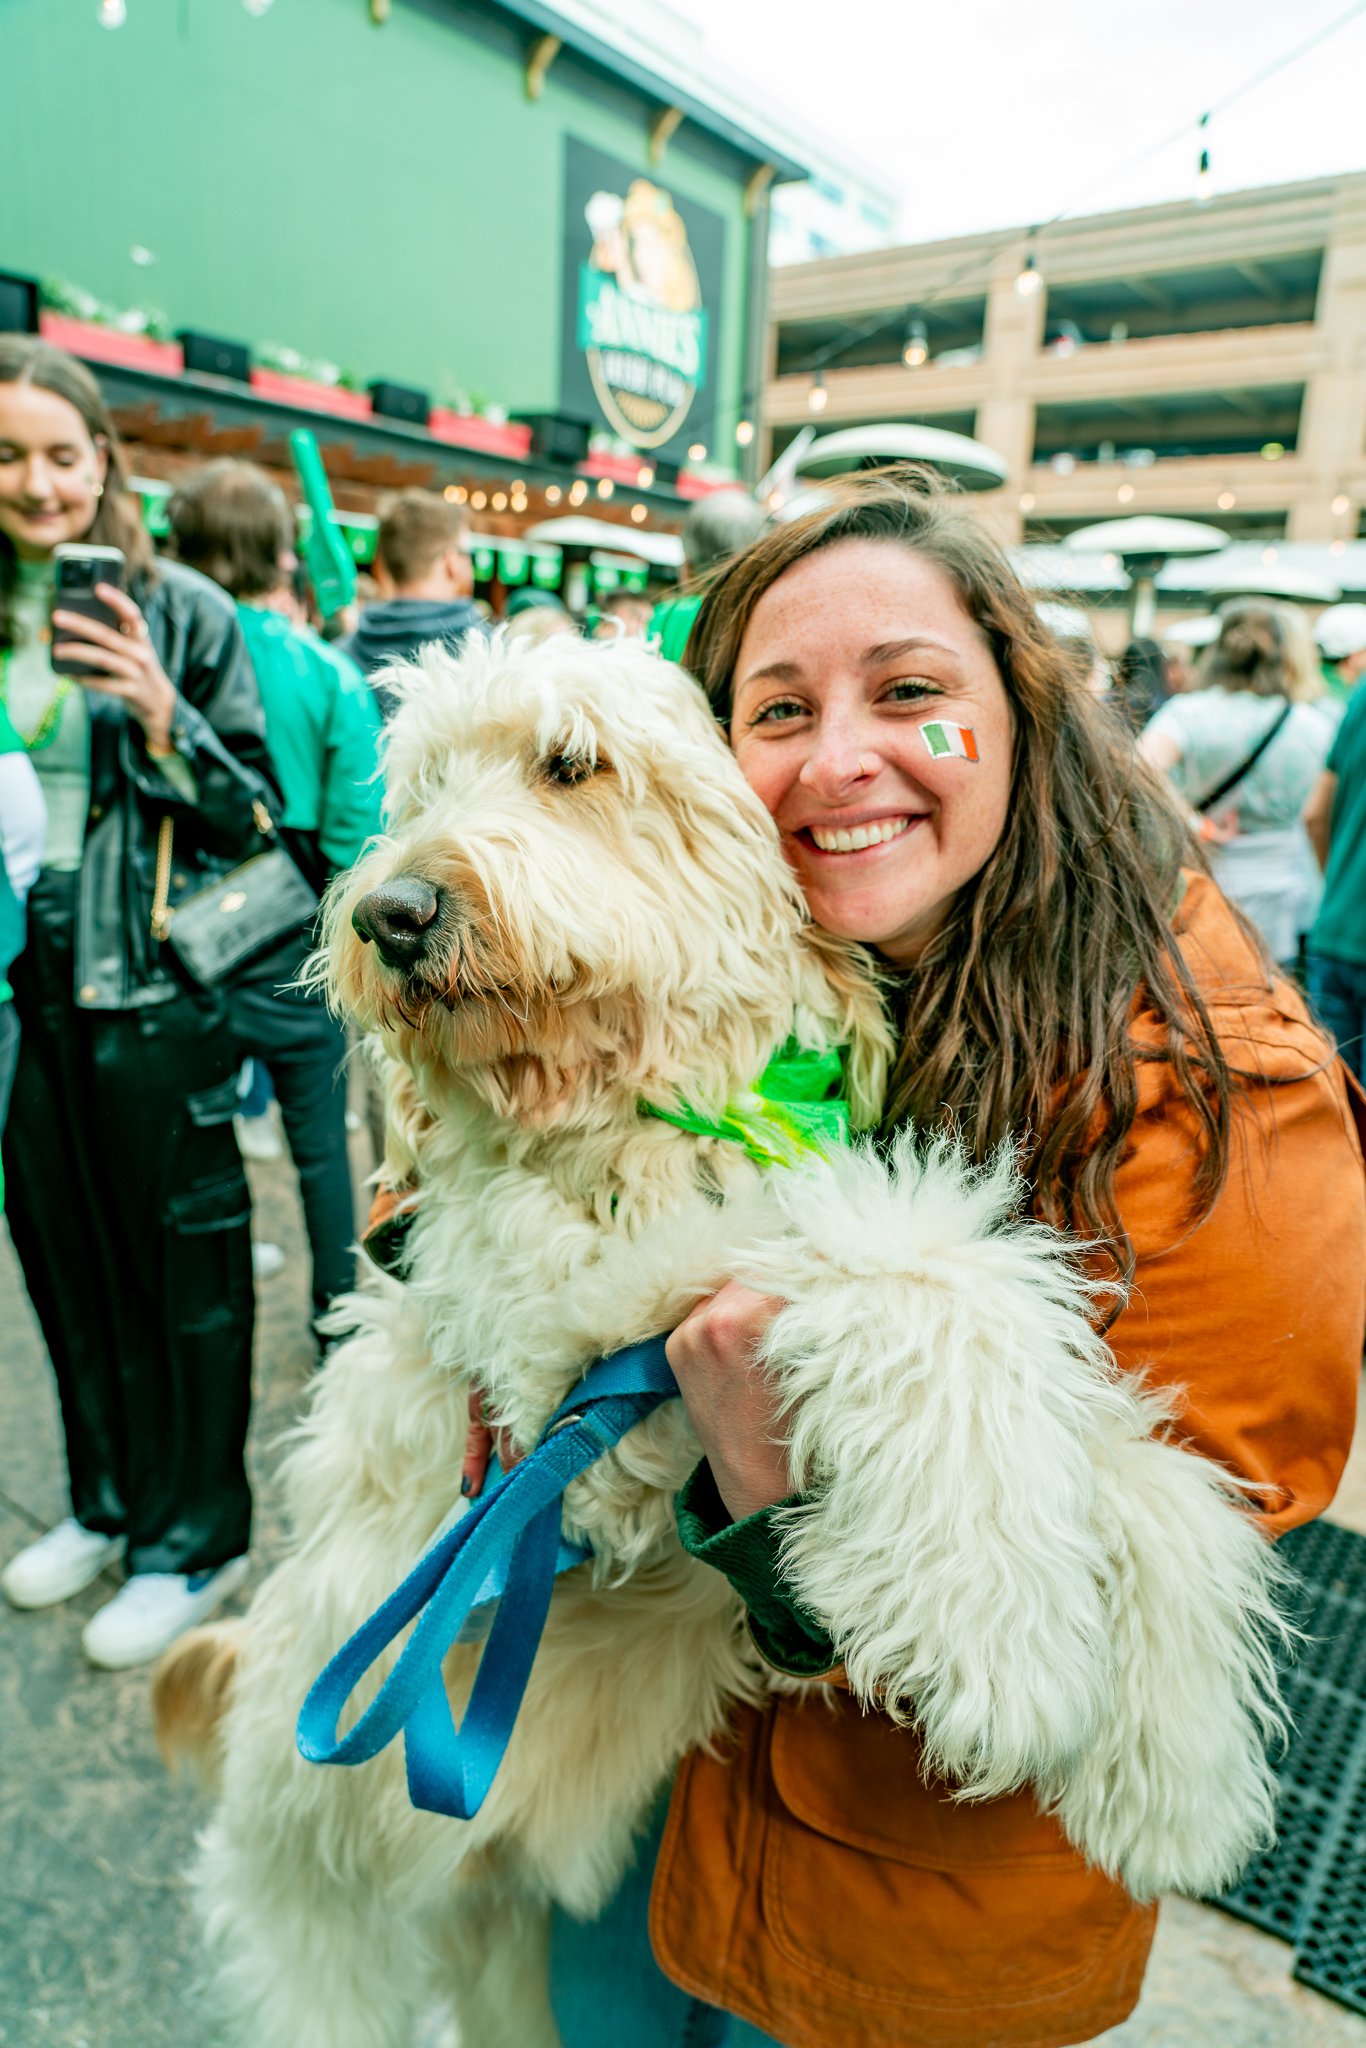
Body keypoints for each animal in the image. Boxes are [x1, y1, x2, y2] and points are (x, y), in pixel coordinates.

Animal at [154, 630, 1286, 2039]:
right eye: (415, 790)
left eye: (570, 764)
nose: (390, 913)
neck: (647, 1109)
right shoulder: (572, 1365)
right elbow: (891, 1250)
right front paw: (1002, 1625)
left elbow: (1143, 1473)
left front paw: (1178, 1769)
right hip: (320, 1909)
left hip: (504, 1944)